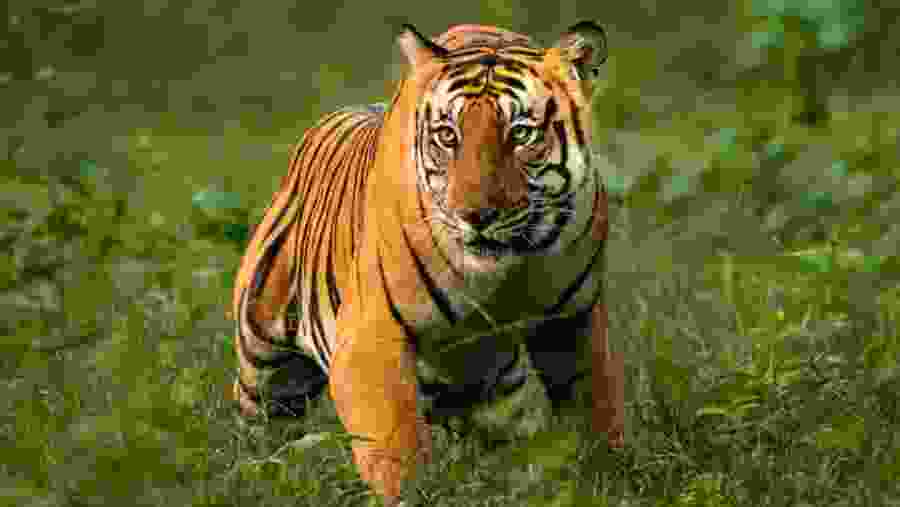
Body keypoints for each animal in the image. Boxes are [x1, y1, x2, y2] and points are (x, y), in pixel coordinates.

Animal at [230, 21, 624, 506]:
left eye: (521, 134)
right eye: (448, 136)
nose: (476, 215)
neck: (507, 273)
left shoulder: (574, 321)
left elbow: (598, 413)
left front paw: (610, 482)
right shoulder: (372, 341)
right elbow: (397, 449)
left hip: (499, 389)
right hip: (263, 362)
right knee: (260, 418)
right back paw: (256, 473)